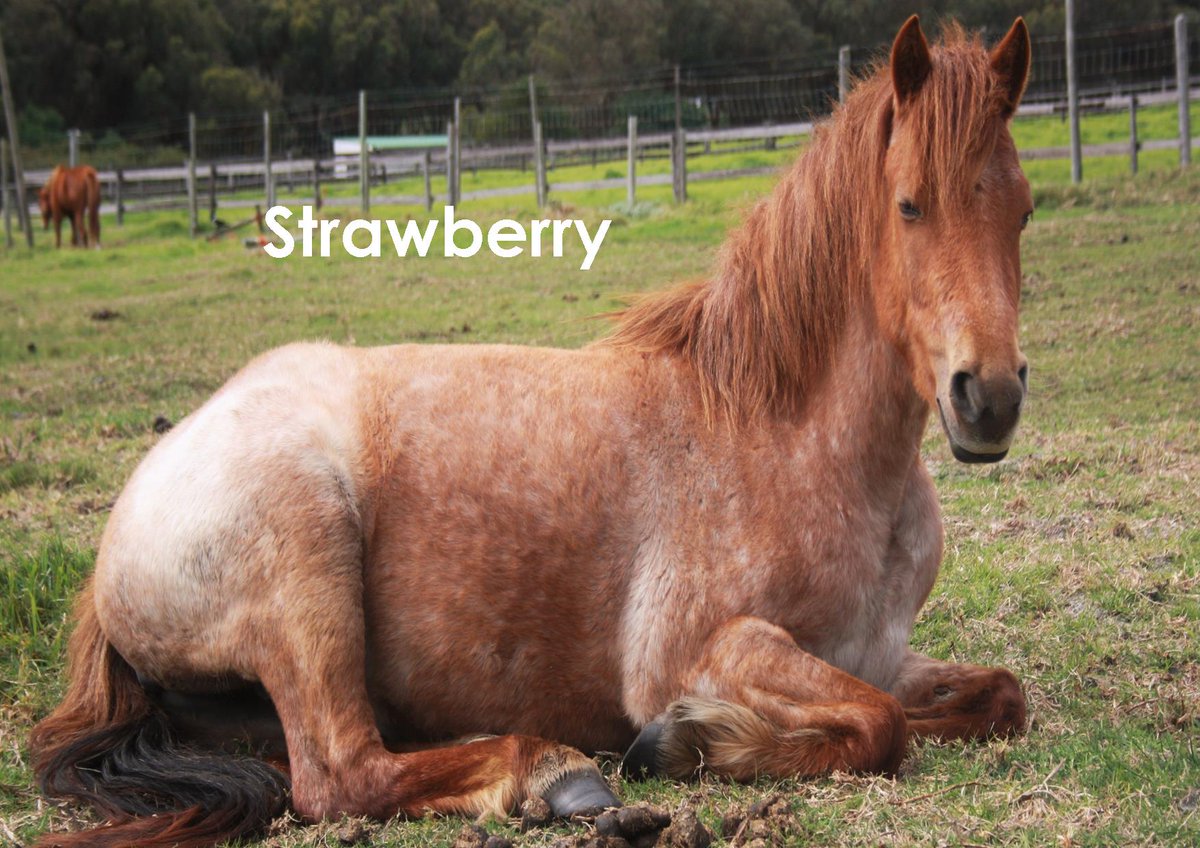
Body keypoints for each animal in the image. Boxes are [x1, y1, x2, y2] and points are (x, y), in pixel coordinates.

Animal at [30, 16, 1033, 848]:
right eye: (909, 204)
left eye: (1022, 208)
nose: (988, 396)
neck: (786, 439)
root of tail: (126, 521)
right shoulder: (696, 651)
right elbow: (879, 726)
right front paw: (694, 743)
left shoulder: (884, 656)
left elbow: (993, 697)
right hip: (307, 574)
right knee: (341, 774)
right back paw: (556, 774)